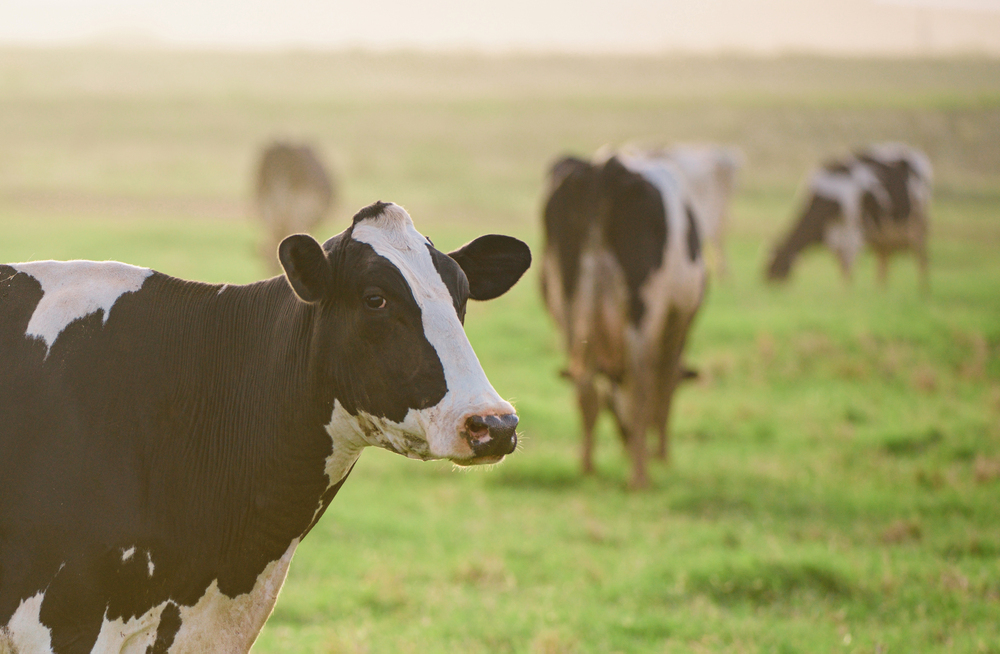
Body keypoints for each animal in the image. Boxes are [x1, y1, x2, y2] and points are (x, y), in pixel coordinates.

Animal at [544, 151, 708, 490]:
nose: (625, 438)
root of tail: (605, 168)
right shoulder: (680, 321)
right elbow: (664, 388)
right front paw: (661, 455)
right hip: (642, 310)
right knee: (641, 385)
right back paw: (640, 478)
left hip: (568, 309)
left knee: (585, 388)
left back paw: (588, 469)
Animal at [764, 145, 928, 290]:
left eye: (776, 266)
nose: (765, 283)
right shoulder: (836, 235)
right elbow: (842, 263)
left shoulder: (852, 230)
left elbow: (848, 263)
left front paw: (845, 293)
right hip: (886, 233)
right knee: (884, 260)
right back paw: (881, 289)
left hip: (917, 224)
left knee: (921, 257)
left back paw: (922, 289)